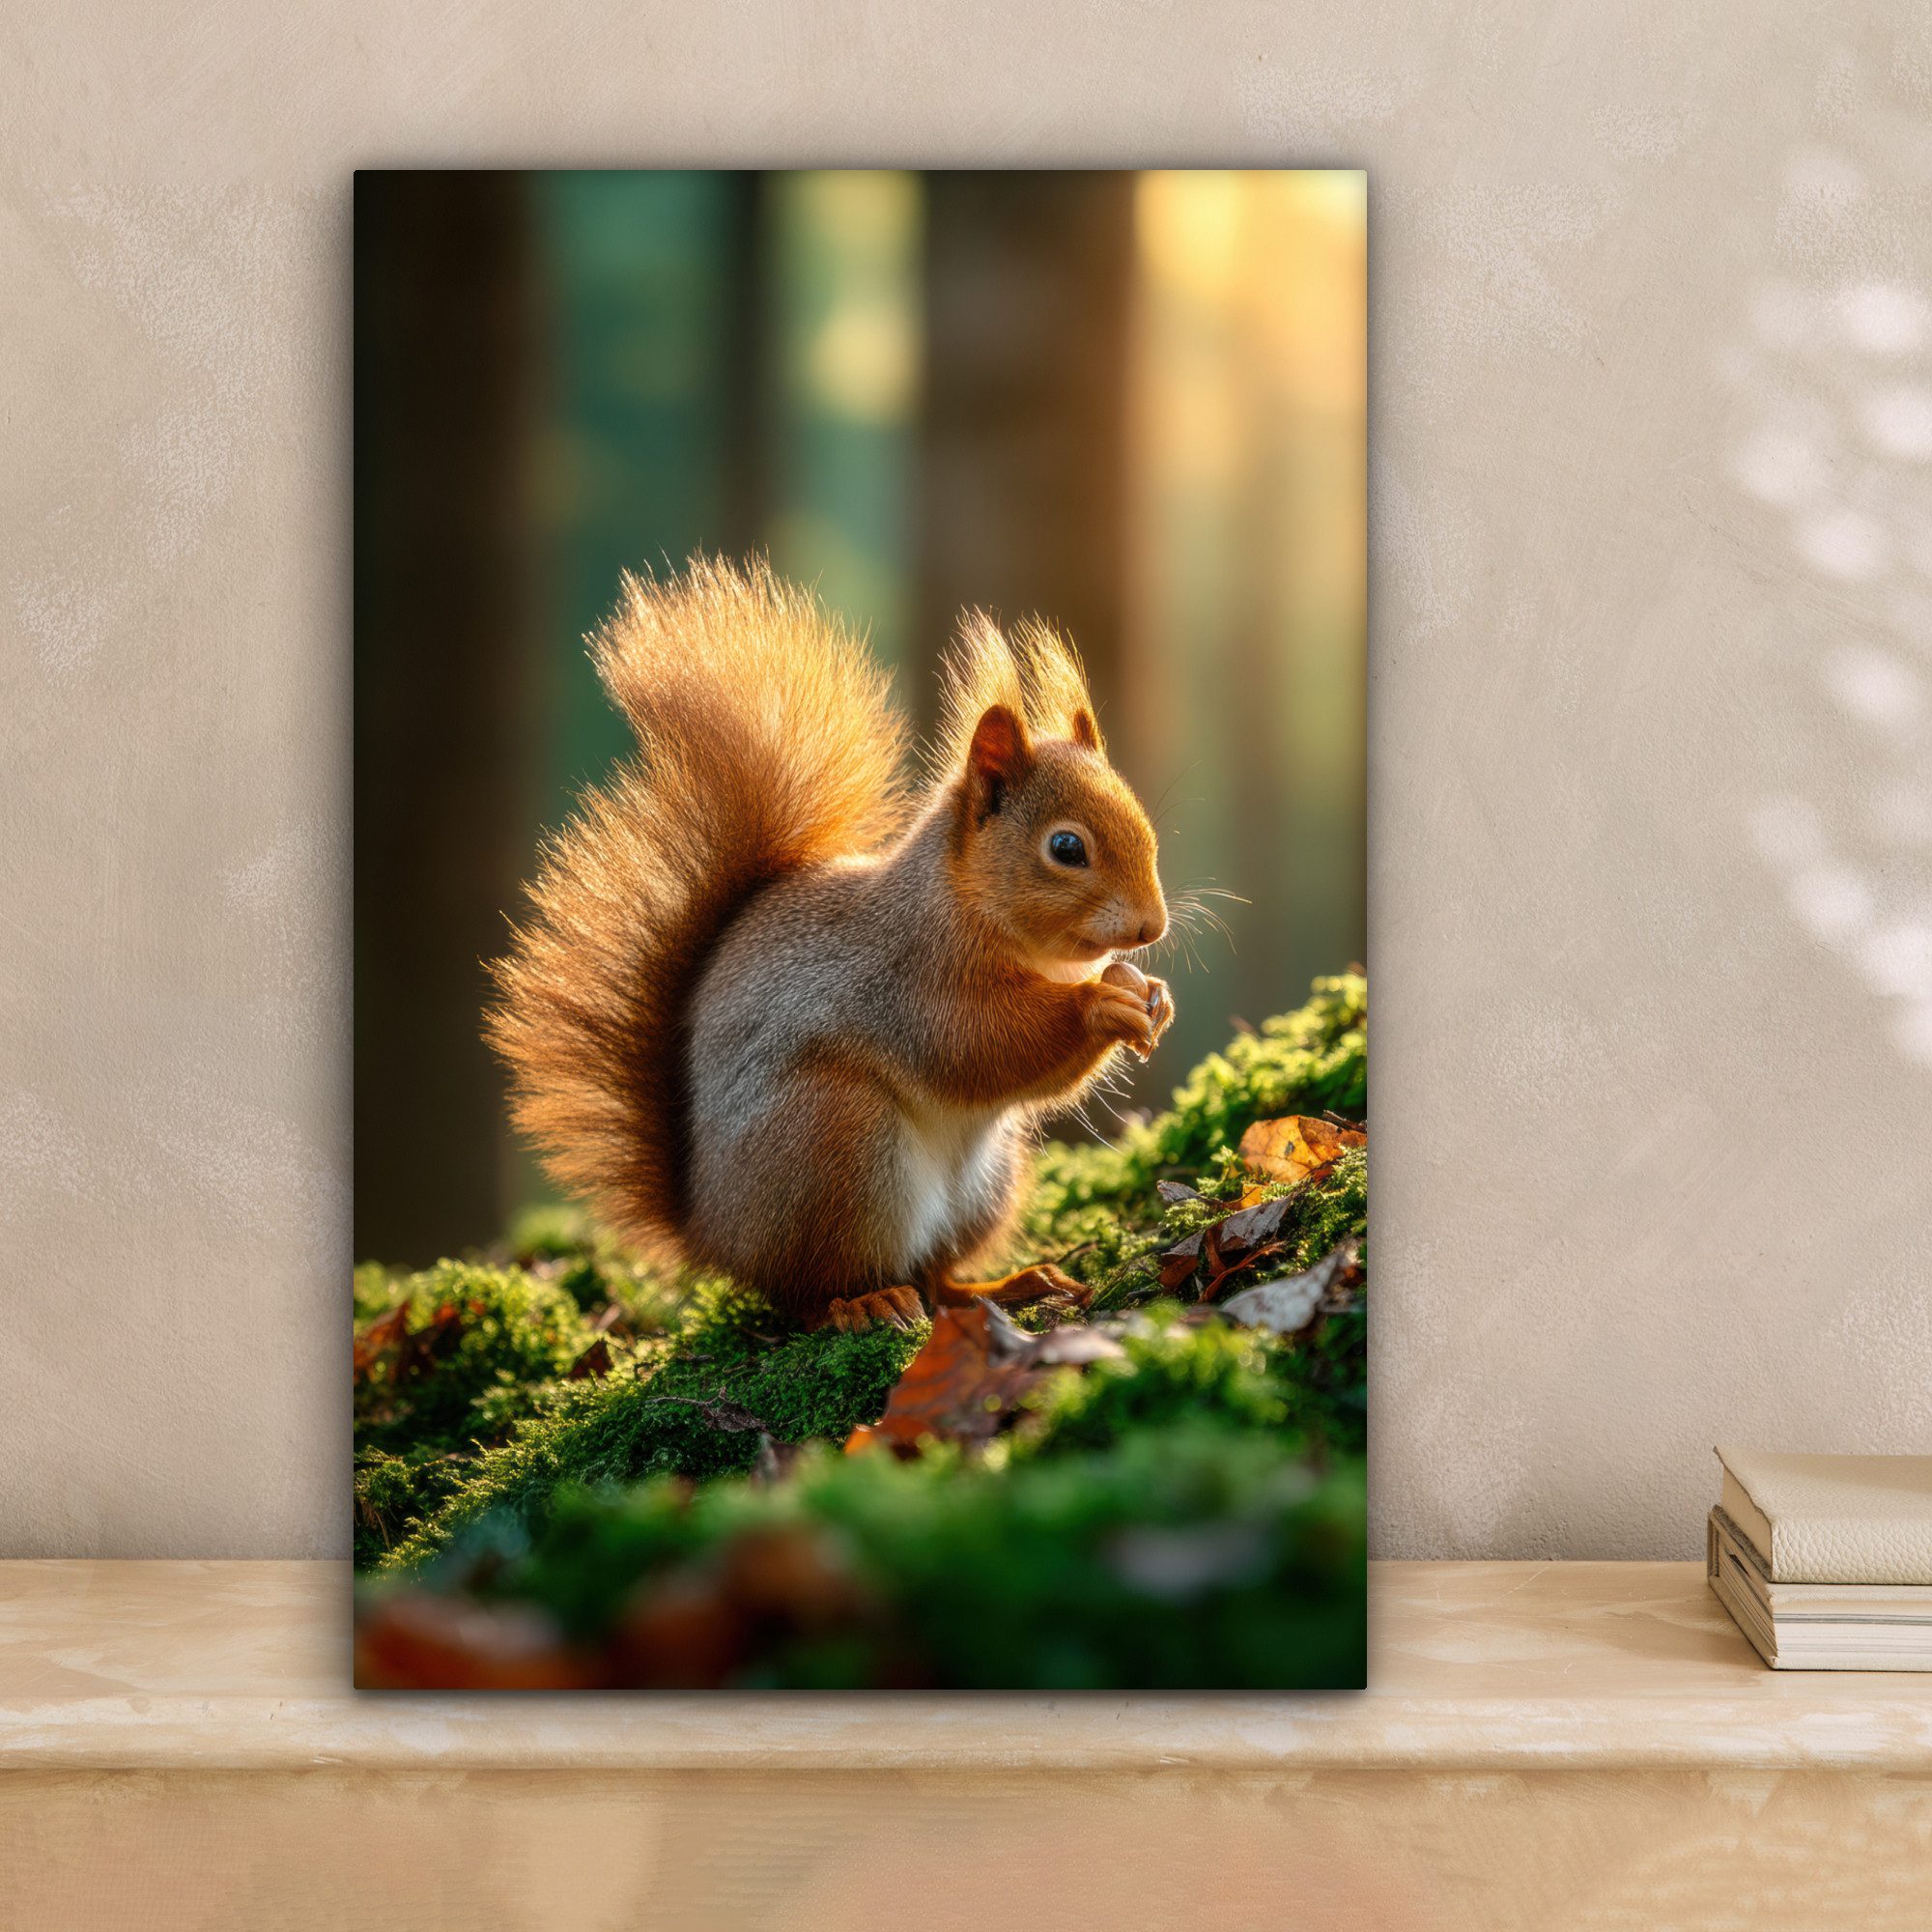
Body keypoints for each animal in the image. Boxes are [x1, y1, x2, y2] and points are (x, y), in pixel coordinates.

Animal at [487, 557, 1173, 1334]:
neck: (970, 908)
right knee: (810, 1294)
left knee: (936, 1277)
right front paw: (1101, 1004)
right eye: (1066, 848)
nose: (1152, 927)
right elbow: (979, 1043)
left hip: (985, 1183)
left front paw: (1149, 994)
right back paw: (864, 1303)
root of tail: (712, 1234)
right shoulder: (909, 979)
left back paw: (1005, 1285)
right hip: (836, 1145)